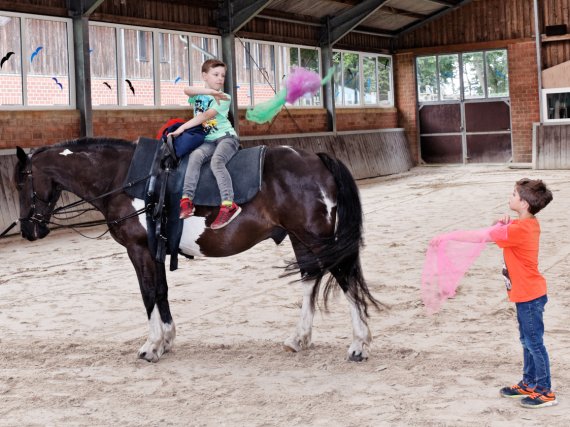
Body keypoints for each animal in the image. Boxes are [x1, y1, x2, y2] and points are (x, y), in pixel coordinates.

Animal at [13, 139, 380, 362]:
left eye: (21, 182)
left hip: (316, 238)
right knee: (309, 278)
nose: (28, 229)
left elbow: (148, 293)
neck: (127, 180)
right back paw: (299, 338)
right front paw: (167, 339)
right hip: (300, 237)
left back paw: (358, 344)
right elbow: (161, 292)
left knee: (345, 279)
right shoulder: (155, 250)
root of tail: (315, 158)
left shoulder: (139, 250)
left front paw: (151, 346)